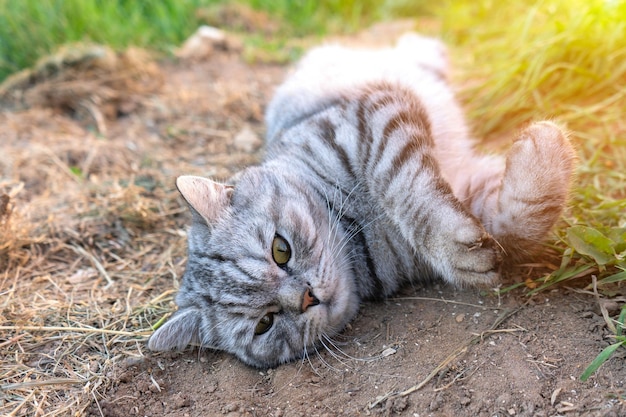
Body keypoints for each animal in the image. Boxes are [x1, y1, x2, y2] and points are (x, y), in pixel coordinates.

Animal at [147, 35, 576, 368]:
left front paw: (545, 153)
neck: (357, 233)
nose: (306, 297)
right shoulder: (464, 188)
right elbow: (511, 226)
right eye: (265, 324)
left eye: (280, 250)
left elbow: (408, 191)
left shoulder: (373, 120)